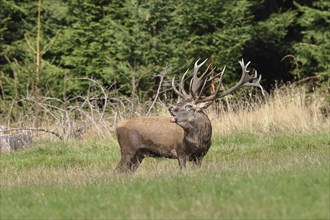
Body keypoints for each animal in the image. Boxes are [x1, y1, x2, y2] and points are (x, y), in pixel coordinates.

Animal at [114, 58, 262, 172]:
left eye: (188, 105)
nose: (171, 107)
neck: (199, 142)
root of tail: (117, 126)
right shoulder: (180, 152)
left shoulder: (200, 156)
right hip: (128, 150)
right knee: (117, 171)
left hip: (139, 155)